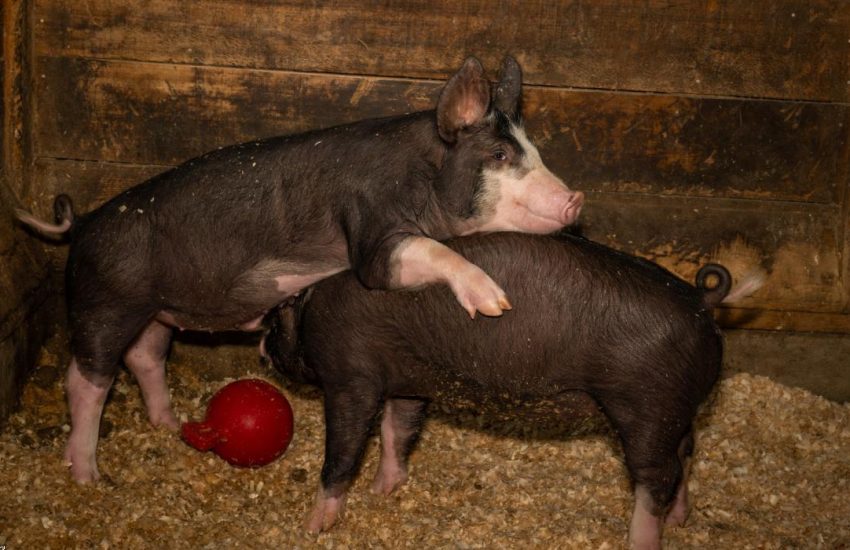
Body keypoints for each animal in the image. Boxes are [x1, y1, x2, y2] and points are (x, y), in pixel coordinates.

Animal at [15, 56, 585, 484]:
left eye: (532, 149)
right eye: (499, 154)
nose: (576, 199)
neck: (424, 172)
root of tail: (84, 221)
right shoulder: (370, 231)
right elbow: (413, 256)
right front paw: (495, 303)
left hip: (155, 309)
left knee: (146, 356)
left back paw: (168, 423)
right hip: (104, 302)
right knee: (85, 379)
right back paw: (87, 475)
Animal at [264, 231, 763, 549]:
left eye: (274, 323)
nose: (262, 348)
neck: (312, 311)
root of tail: (701, 300)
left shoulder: (351, 377)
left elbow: (344, 449)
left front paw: (312, 528)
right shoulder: (408, 377)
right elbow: (398, 429)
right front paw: (382, 491)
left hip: (646, 407)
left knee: (655, 475)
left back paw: (639, 541)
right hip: (675, 409)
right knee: (686, 452)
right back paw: (680, 519)